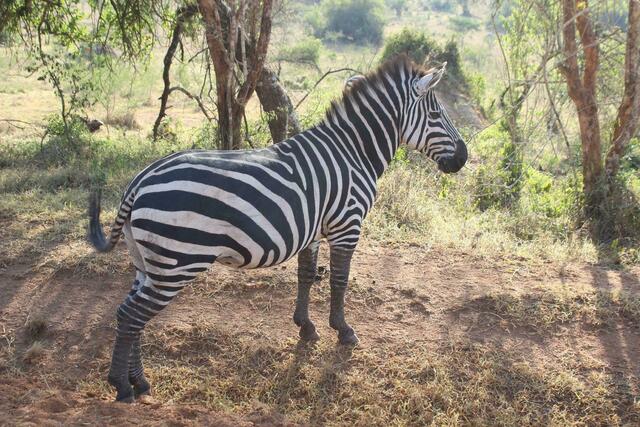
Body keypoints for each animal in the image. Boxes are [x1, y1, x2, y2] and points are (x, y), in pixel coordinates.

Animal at [88, 55, 467, 402]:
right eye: (437, 115)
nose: (463, 158)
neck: (353, 153)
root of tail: (141, 180)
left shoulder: (314, 230)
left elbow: (306, 275)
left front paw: (306, 328)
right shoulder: (347, 224)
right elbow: (339, 280)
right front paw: (343, 330)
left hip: (148, 262)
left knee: (130, 315)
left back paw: (139, 381)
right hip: (177, 261)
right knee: (132, 316)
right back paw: (123, 386)